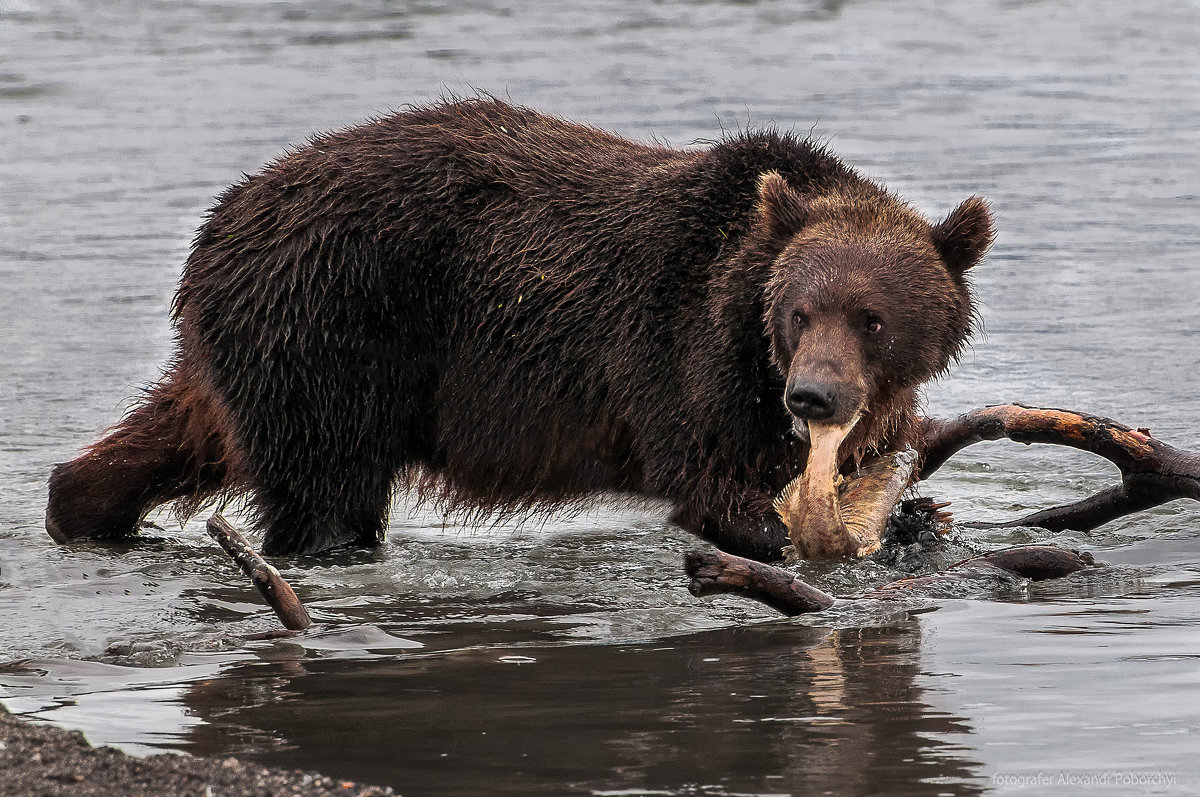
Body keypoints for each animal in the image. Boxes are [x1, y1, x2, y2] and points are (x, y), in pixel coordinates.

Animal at [44, 97, 993, 559]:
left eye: (873, 318)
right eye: (799, 313)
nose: (815, 396)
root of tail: (225, 217)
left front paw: (916, 515)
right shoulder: (681, 351)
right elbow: (704, 478)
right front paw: (774, 529)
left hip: (253, 343)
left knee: (180, 427)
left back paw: (82, 504)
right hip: (334, 325)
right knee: (325, 486)